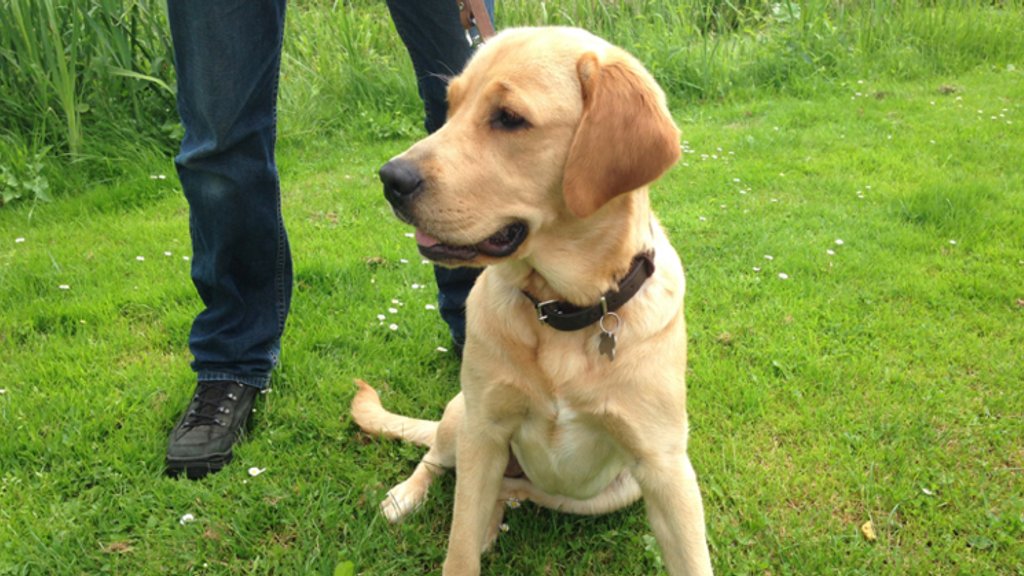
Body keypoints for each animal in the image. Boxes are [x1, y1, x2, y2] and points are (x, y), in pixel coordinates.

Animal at [351, 27, 713, 576]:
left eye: (509, 118)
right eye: (450, 108)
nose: (391, 179)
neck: (562, 309)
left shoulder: (664, 464)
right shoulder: (484, 429)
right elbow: (458, 546)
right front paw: (456, 530)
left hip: (612, 490)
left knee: (513, 490)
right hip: (461, 416)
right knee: (437, 459)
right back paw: (407, 496)